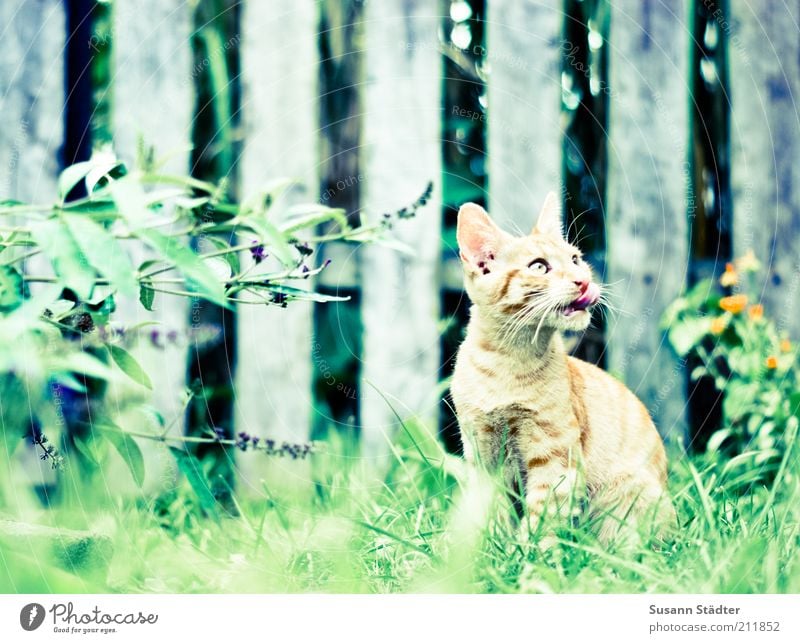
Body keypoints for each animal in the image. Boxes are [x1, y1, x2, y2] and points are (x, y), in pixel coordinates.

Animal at [454, 192, 672, 544]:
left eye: (575, 259)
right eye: (539, 266)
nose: (583, 281)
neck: (507, 363)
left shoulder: (555, 456)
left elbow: (542, 516)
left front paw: (527, 552)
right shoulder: (483, 452)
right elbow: (492, 514)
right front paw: (488, 547)